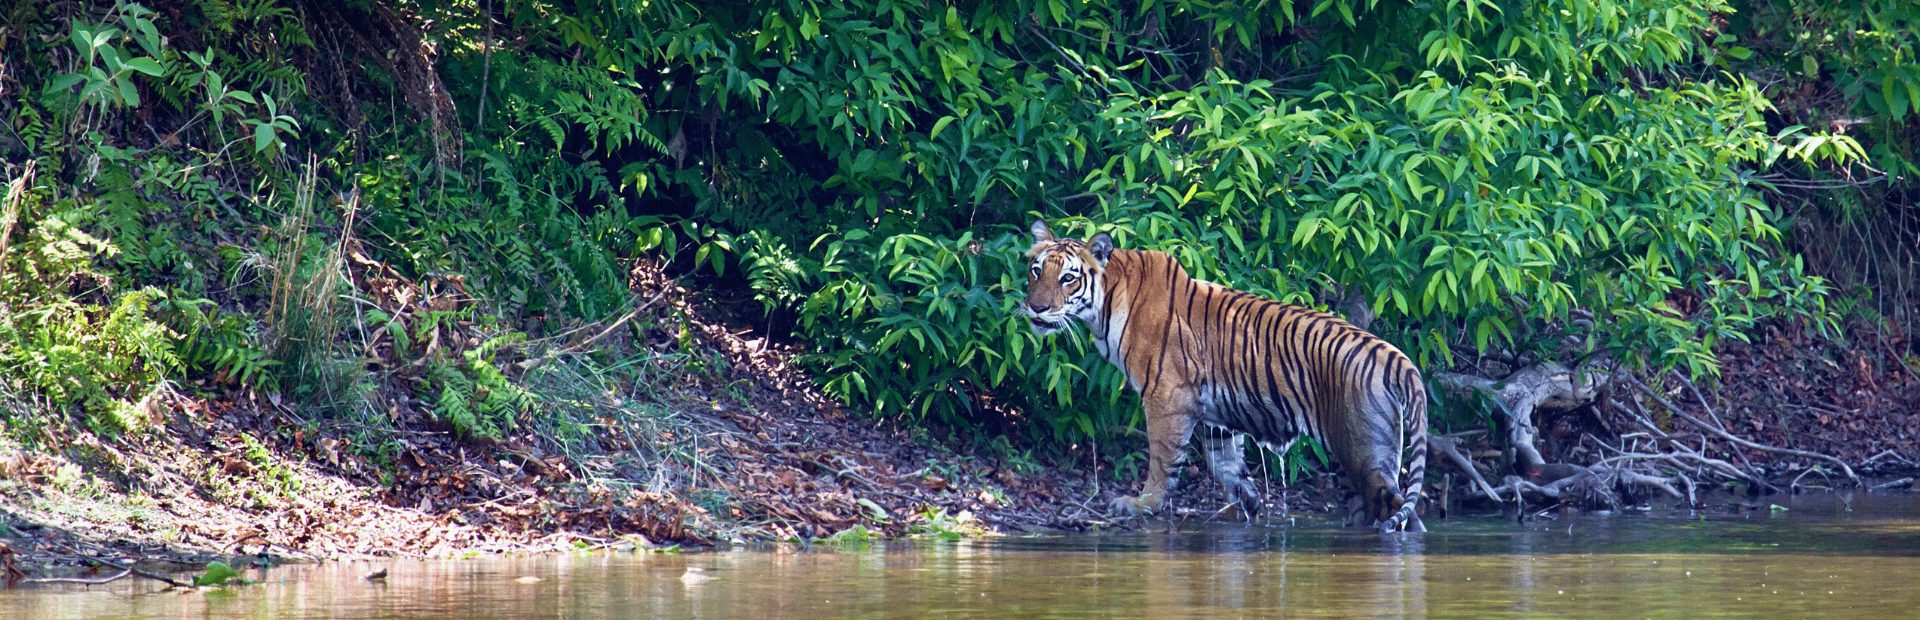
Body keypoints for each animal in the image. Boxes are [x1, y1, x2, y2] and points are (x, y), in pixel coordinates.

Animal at [1021, 219, 1428, 533]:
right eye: (1036, 270)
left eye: (1069, 277)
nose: (1036, 307)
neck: (1105, 305)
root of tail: (1395, 357)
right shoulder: (1216, 413)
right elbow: (1226, 467)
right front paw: (1246, 507)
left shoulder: (1167, 396)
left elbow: (1162, 458)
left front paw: (1142, 504)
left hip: (1363, 451)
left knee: (1402, 513)